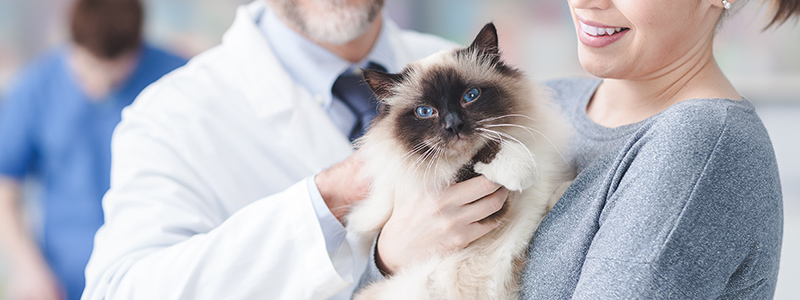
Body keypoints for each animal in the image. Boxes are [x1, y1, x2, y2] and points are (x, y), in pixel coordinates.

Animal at [346, 22, 572, 298]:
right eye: (425, 112)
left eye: (471, 96)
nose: (453, 125)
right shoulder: (439, 182)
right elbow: (471, 160)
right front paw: (522, 170)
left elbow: (552, 190)